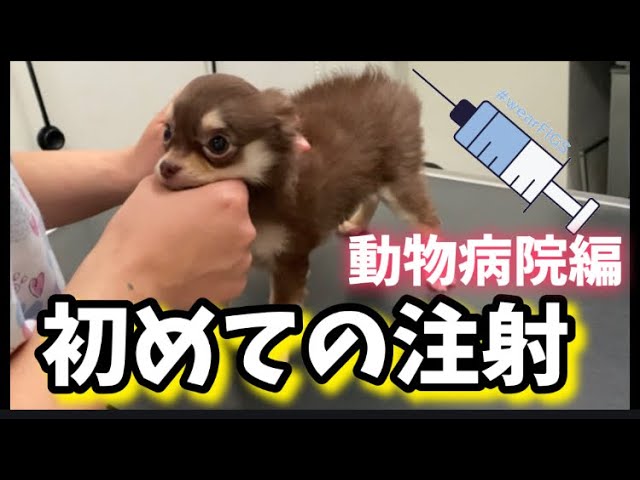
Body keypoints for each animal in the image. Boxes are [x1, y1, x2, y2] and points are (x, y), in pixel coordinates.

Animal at [155, 66, 446, 305]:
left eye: (218, 144)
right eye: (167, 133)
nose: (165, 167)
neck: (257, 197)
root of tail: (391, 85)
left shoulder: (290, 259)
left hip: (399, 180)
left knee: (428, 221)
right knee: (371, 196)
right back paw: (356, 223)